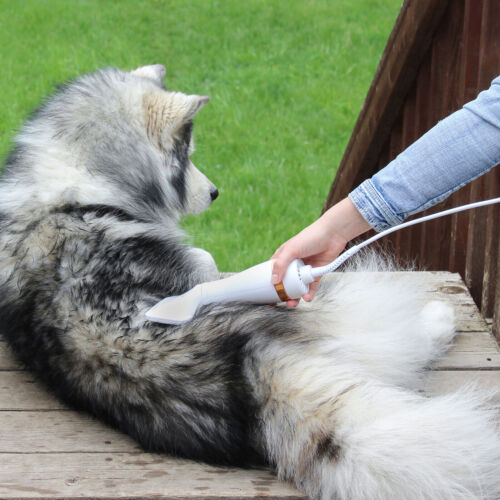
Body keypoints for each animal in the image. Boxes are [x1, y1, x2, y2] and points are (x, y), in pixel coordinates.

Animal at [0, 64, 500, 498]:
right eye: (187, 158)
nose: (216, 192)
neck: (76, 180)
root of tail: (245, 376)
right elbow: (204, 257)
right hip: (348, 311)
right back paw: (437, 320)